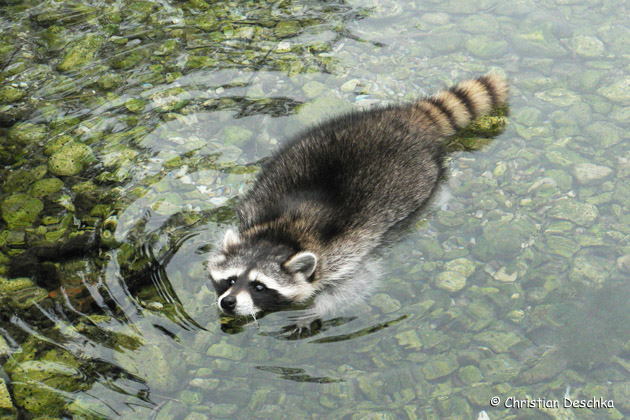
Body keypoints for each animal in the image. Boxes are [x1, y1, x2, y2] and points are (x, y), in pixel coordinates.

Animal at [207, 74, 508, 326]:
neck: (279, 234)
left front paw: (319, 307)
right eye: (231, 279)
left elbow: (359, 282)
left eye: (259, 286)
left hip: (421, 172)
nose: (228, 302)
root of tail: (405, 118)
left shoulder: (345, 251)